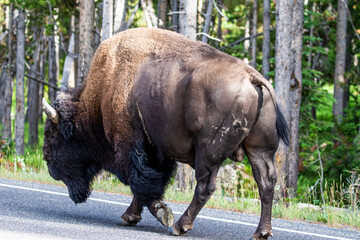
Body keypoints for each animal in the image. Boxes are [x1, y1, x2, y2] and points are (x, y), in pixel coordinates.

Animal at [43, 27, 290, 238]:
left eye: (53, 137)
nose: (49, 166)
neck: (102, 93)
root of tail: (252, 77)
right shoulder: (157, 150)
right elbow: (149, 182)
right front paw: (131, 216)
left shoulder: (130, 145)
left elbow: (141, 182)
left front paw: (158, 213)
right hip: (259, 149)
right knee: (266, 183)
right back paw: (262, 232)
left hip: (210, 151)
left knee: (205, 185)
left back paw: (179, 226)